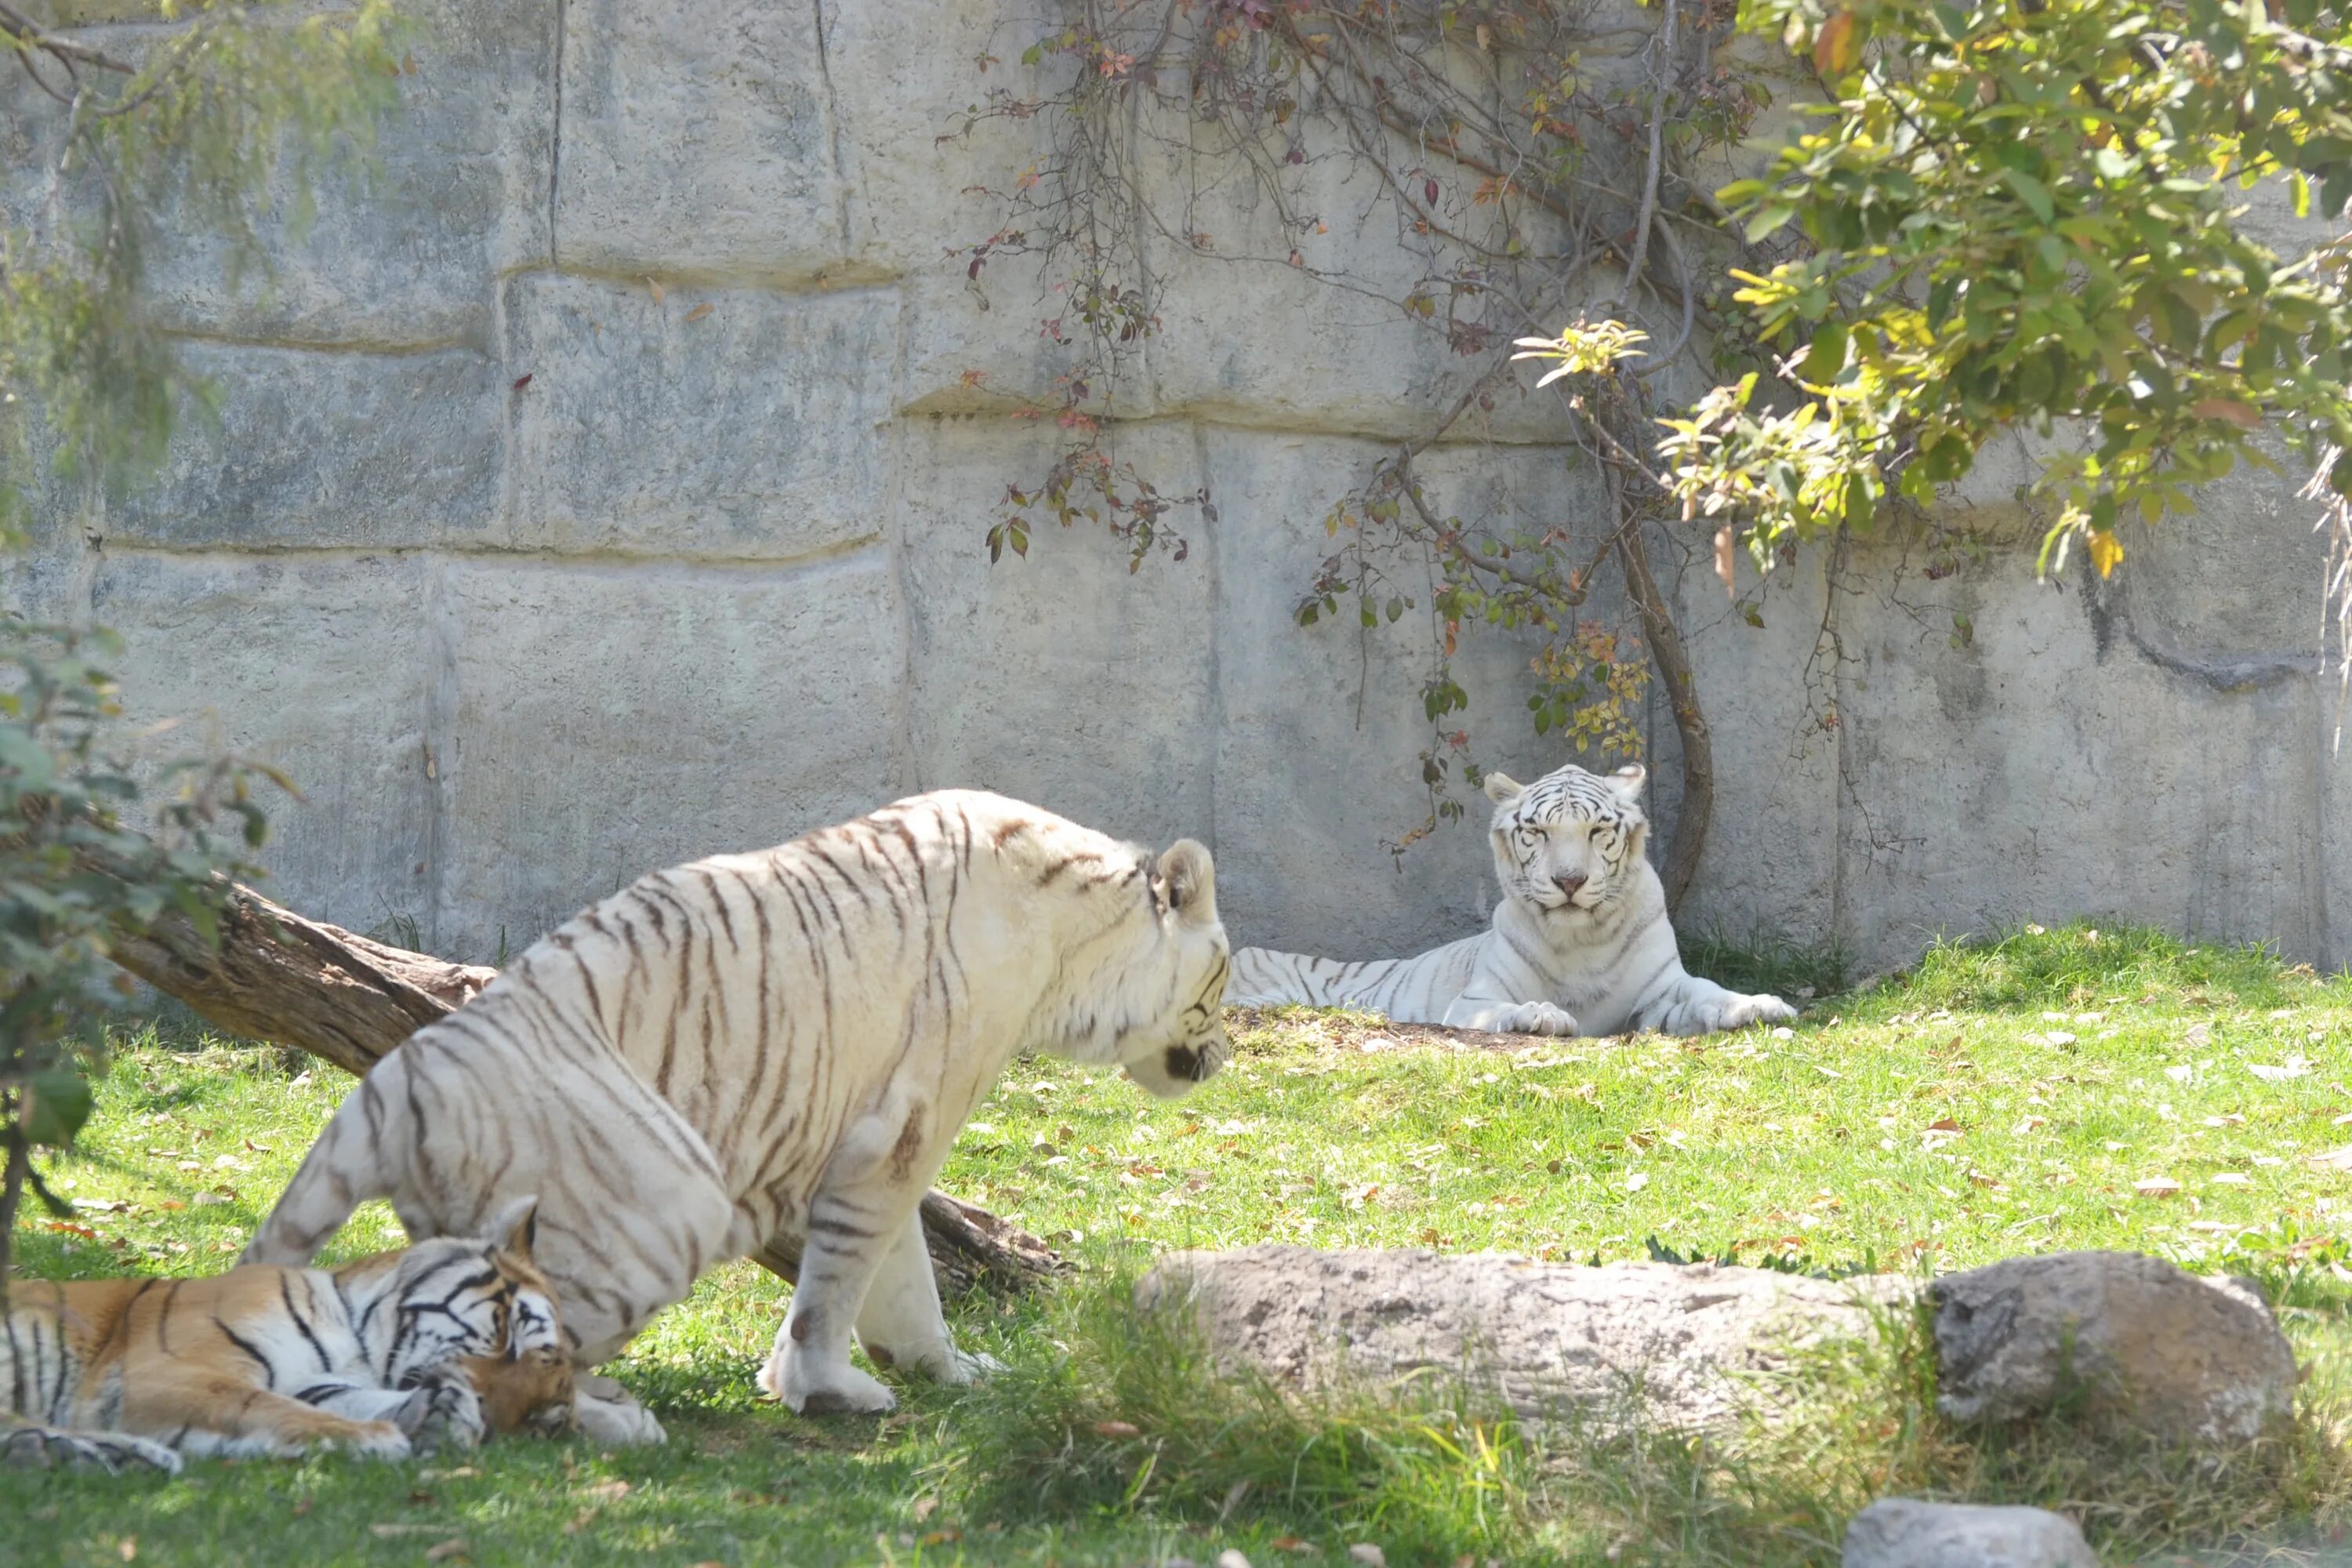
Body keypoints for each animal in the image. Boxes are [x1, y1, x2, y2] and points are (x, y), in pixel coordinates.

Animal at [241, 789, 1242, 1439]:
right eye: (1224, 978)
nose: (1225, 1052)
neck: (1074, 933)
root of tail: (401, 1080)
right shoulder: (902, 1127)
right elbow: (846, 1275)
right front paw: (828, 1387)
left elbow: (899, 1273)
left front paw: (942, 1368)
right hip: (669, 1198)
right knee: (504, 1366)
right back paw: (619, 1418)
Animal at [1223, 761, 1788, 1034]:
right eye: (1537, 831)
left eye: (1597, 830)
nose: (1569, 881)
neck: (1584, 940)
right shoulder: (1473, 1000)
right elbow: (1508, 1008)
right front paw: (1543, 1015)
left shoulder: (1662, 992)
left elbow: (1708, 991)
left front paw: (1758, 1005)